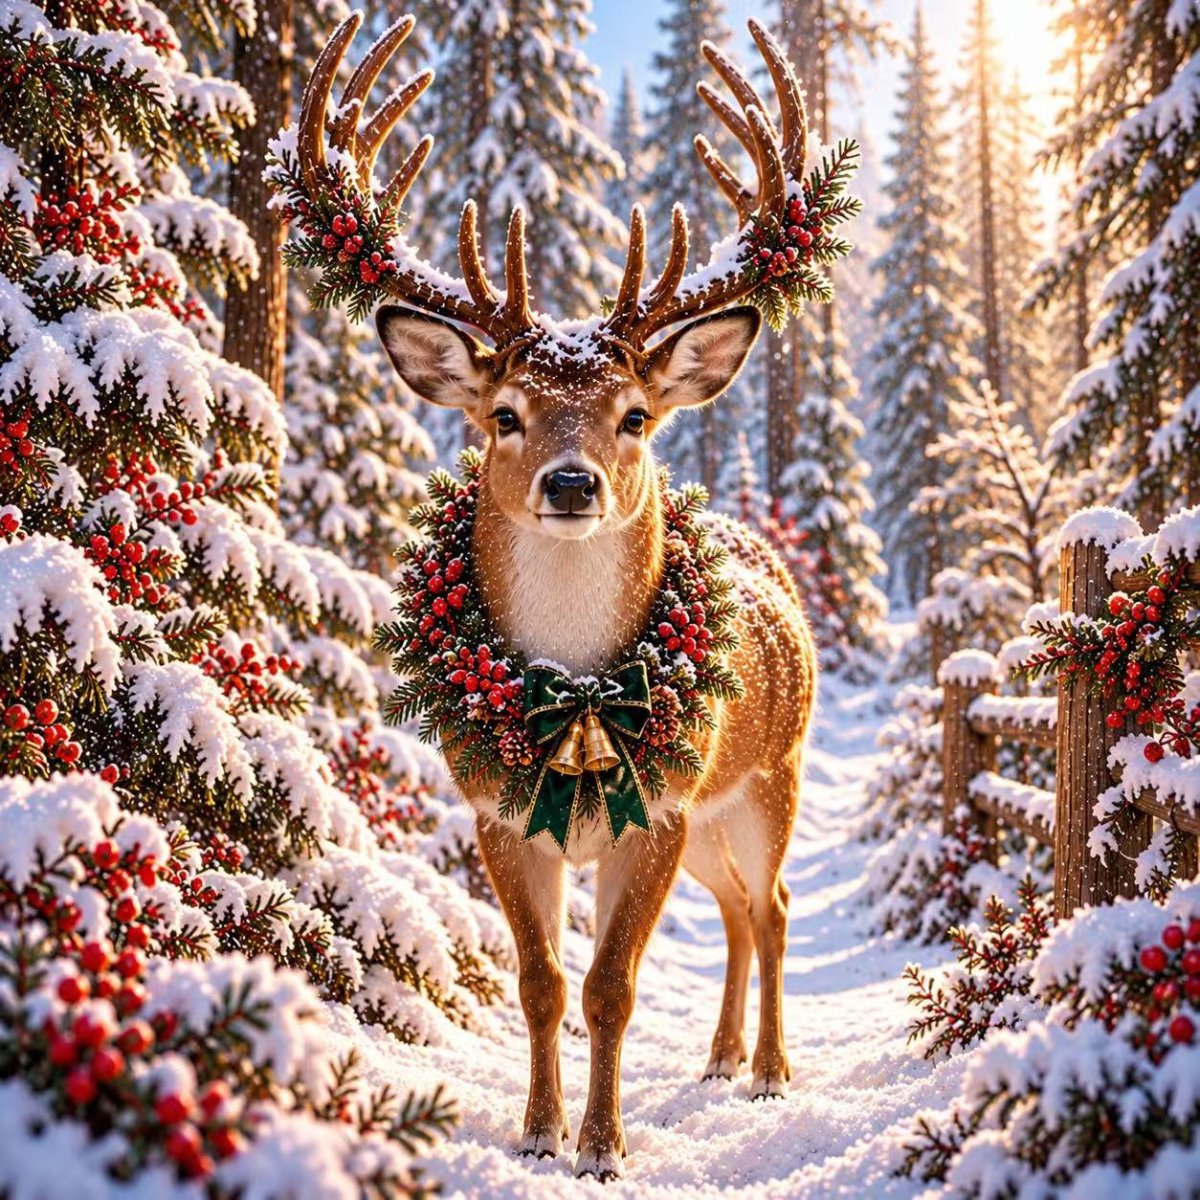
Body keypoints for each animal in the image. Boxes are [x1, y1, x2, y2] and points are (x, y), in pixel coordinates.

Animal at [292, 13, 820, 1181]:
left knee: (773, 904)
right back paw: (720, 1058)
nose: (571, 484)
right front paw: (538, 1134)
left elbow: (611, 988)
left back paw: (769, 1071)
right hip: (711, 817)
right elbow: (541, 987)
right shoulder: (497, 809)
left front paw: (603, 1148)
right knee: (736, 910)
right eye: (502, 413)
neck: (572, 687)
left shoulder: (655, 809)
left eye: (634, 415)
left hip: (765, 778)